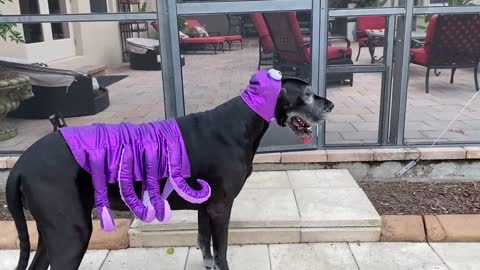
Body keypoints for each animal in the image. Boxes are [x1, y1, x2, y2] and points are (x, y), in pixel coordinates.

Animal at [5, 70, 334, 268]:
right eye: (306, 93)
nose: (330, 105)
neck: (242, 121)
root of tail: (22, 162)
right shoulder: (221, 207)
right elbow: (222, 251)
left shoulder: (206, 206)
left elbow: (205, 245)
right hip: (71, 233)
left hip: (50, 232)